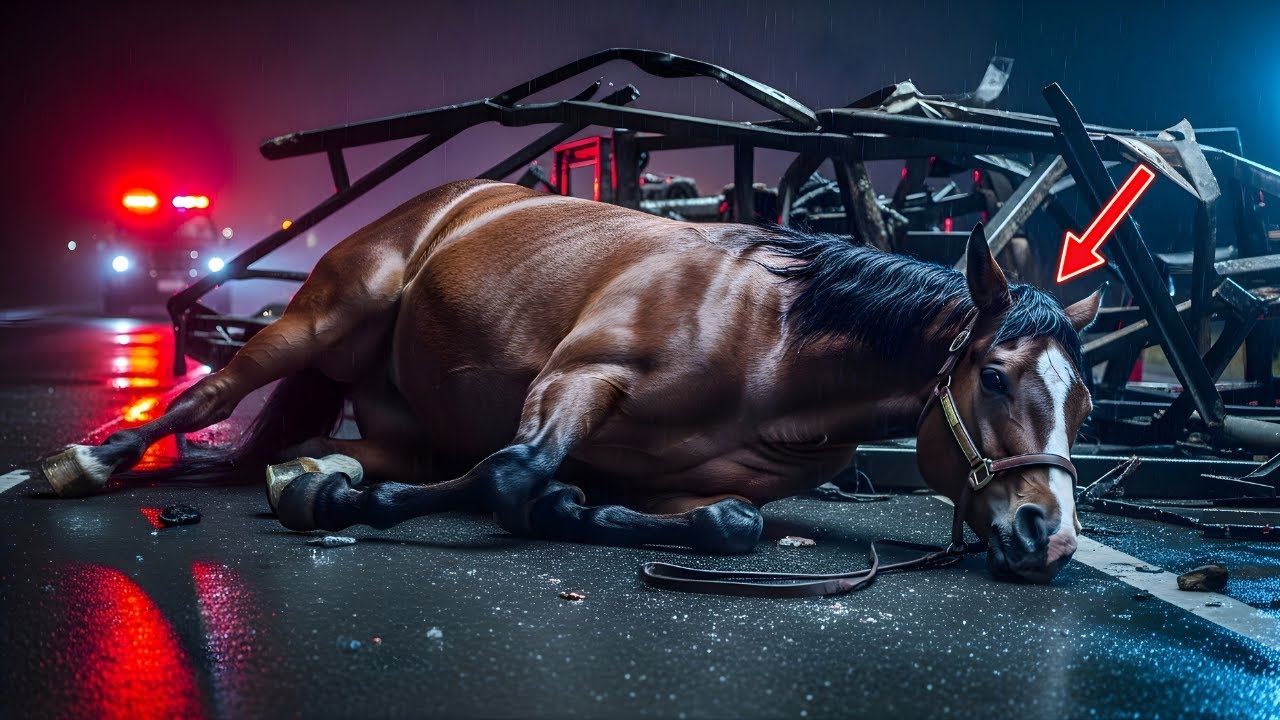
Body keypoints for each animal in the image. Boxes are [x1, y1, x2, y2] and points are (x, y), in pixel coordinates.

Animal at [40, 179, 1100, 584]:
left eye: (1084, 404)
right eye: (995, 376)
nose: (1049, 536)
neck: (773, 342)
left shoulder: (686, 487)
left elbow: (730, 525)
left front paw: (578, 509)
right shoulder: (580, 377)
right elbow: (517, 472)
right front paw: (364, 508)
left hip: (402, 425)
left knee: (315, 445)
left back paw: (308, 475)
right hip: (320, 317)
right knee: (212, 397)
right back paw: (87, 464)